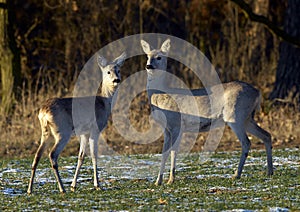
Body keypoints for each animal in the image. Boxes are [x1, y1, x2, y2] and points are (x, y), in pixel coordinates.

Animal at [27, 51, 126, 194]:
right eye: (108, 72)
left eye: (118, 70)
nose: (116, 80)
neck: (104, 103)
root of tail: (43, 112)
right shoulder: (95, 129)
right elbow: (94, 155)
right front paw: (97, 185)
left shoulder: (84, 132)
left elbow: (81, 156)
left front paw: (73, 185)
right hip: (63, 131)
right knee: (52, 154)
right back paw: (62, 188)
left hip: (46, 132)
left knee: (37, 155)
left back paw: (30, 189)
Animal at [139, 38, 274, 186]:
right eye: (147, 56)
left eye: (159, 57)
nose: (148, 66)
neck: (161, 95)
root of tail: (258, 93)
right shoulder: (166, 129)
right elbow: (164, 153)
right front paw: (158, 181)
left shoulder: (176, 124)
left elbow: (173, 152)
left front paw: (171, 179)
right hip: (248, 118)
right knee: (266, 135)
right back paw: (269, 171)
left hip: (235, 115)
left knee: (246, 142)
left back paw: (237, 174)